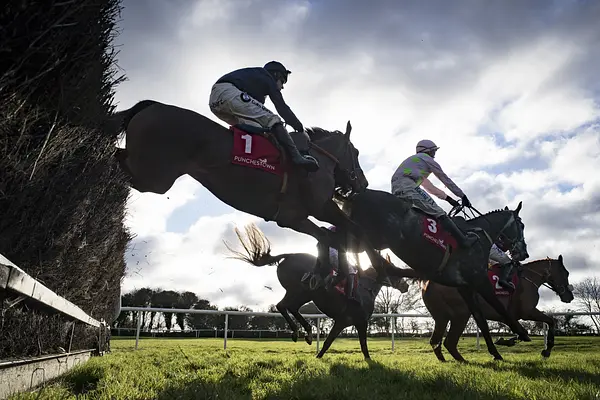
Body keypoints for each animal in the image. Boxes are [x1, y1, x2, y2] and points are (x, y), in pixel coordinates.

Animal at [105, 100, 393, 280]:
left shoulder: (293, 218)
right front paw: (378, 268)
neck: (317, 159)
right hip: (155, 177)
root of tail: (152, 106)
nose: (363, 184)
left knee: (116, 157)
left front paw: (325, 273)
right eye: (356, 152)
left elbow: (330, 236)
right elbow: (346, 232)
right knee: (114, 161)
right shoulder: (315, 208)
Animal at [226, 223, 413, 360]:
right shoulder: (353, 321)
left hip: (303, 293)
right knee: (284, 306)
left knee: (287, 306)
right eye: (395, 270)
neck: (365, 288)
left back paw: (306, 333)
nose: (406, 286)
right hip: (300, 290)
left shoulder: (347, 322)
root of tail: (289, 255)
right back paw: (300, 332)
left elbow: (338, 342)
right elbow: (350, 344)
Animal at [335, 189, 531, 361]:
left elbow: (480, 319)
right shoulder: (479, 280)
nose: (524, 253)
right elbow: (500, 308)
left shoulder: (466, 287)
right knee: (359, 243)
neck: (479, 235)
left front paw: (496, 353)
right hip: (375, 235)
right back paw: (381, 269)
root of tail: (355, 195)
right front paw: (521, 333)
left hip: (363, 236)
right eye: (521, 225)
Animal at [421, 255, 575, 362]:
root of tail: (427, 283)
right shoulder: (526, 311)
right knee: (449, 342)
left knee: (435, 341)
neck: (528, 278)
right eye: (566, 273)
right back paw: (466, 361)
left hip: (442, 317)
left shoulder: (509, 316)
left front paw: (508, 340)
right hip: (461, 314)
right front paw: (546, 351)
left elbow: (522, 330)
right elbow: (551, 321)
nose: (570, 296)